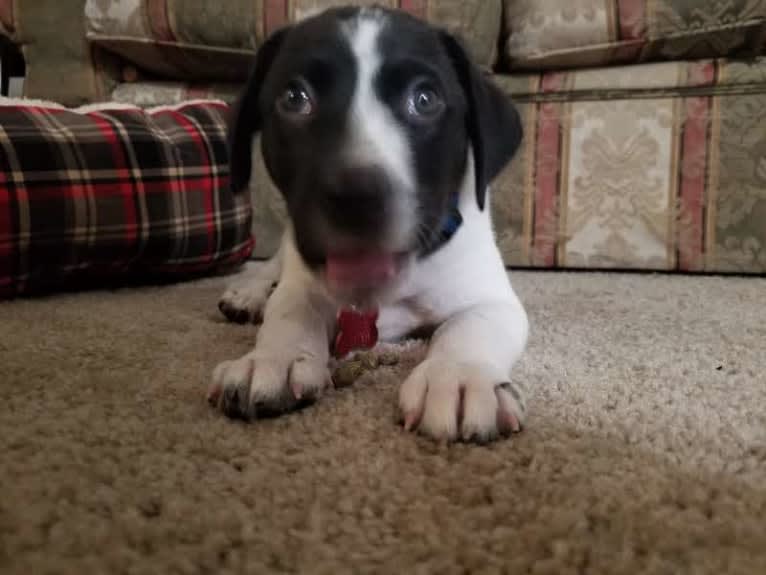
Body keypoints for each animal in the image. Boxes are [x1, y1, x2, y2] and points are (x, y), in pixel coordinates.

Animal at [212, 4, 536, 444]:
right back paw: (247, 293)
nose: (356, 197)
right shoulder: (302, 282)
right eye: (295, 98)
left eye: (425, 99)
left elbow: (468, 328)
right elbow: (289, 312)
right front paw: (272, 358)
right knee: (272, 266)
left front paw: (457, 377)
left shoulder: (490, 299)